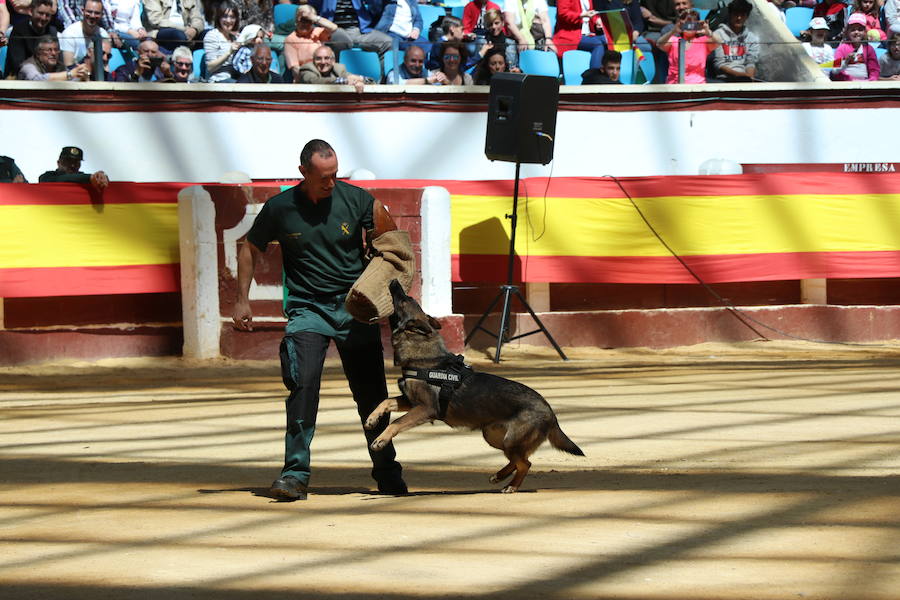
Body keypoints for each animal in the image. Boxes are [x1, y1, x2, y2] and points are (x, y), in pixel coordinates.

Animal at [366, 282, 584, 492]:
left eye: (404, 300)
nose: (394, 281)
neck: (424, 356)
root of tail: (550, 411)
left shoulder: (425, 409)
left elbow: (396, 422)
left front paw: (380, 440)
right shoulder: (411, 403)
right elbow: (385, 401)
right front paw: (371, 419)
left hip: (509, 440)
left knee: (524, 463)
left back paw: (511, 486)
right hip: (493, 436)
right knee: (519, 460)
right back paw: (499, 476)